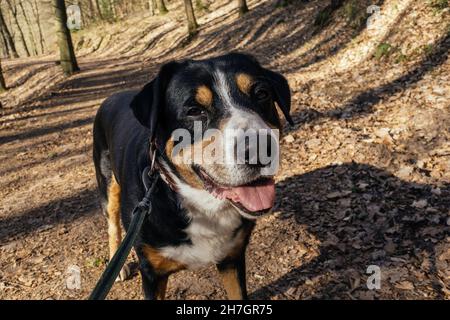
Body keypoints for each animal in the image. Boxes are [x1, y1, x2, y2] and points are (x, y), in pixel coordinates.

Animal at [93, 52, 294, 300]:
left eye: (262, 94)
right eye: (195, 111)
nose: (259, 149)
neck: (203, 205)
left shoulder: (232, 257)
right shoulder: (152, 272)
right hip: (107, 185)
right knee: (113, 225)